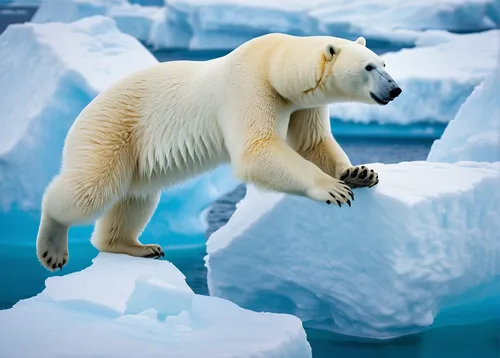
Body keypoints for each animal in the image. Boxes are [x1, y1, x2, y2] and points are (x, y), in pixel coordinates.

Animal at [35, 32, 400, 272]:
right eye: (369, 67)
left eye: (384, 62)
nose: (395, 89)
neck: (272, 63)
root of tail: (82, 115)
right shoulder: (250, 88)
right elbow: (257, 149)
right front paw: (334, 189)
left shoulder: (301, 105)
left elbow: (314, 143)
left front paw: (359, 173)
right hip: (113, 131)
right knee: (90, 190)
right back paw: (53, 248)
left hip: (135, 157)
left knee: (136, 198)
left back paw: (138, 247)